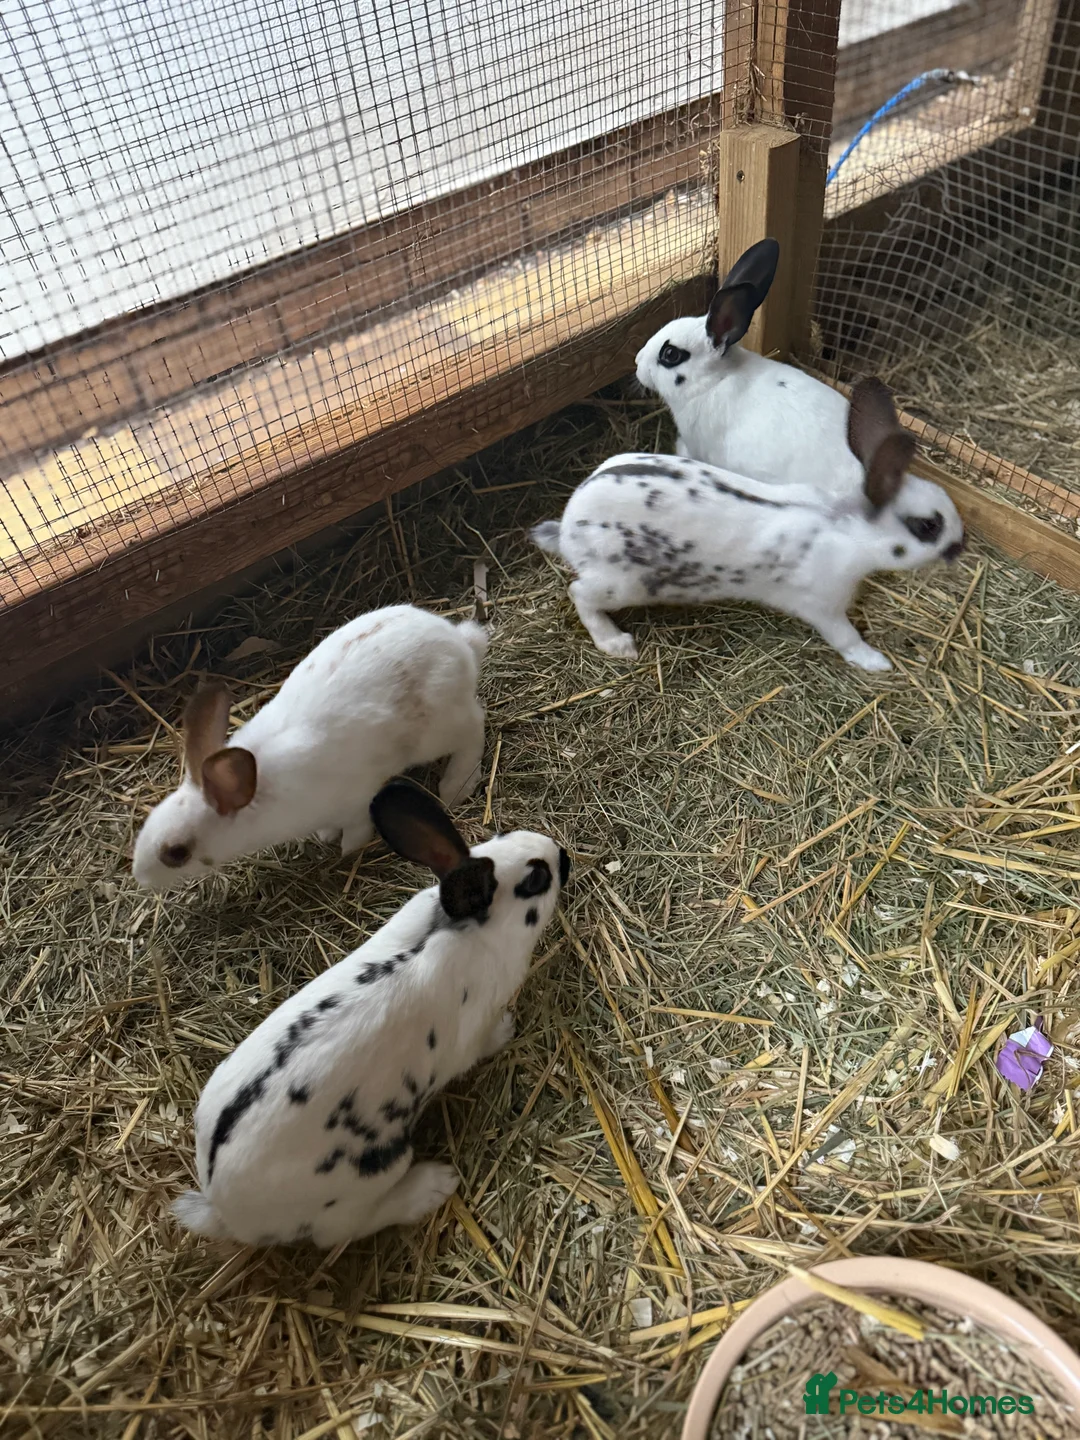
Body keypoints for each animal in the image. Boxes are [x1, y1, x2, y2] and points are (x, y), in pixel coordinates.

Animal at [132, 605, 488, 891]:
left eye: (177, 853)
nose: (140, 878)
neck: (260, 798)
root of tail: (459, 643)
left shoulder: (355, 801)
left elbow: (357, 830)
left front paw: (347, 851)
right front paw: (326, 836)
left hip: (438, 731)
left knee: (475, 727)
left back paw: (455, 787)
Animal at [171, 777, 570, 1248]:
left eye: (501, 834)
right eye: (535, 878)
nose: (561, 854)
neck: (463, 930)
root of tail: (223, 1208)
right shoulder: (471, 1035)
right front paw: (507, 1029)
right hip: (374, 1169)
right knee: (347, 1228)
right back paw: (432, 1185)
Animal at [531, 377, 964, 672]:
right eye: (928, 526)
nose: (961, 544)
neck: (845, 527)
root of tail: (569, 526)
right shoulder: (823, 605)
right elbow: (846, 637)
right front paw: (876, 662)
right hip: (621, 584)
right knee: (579, 593)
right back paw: (617, 643)